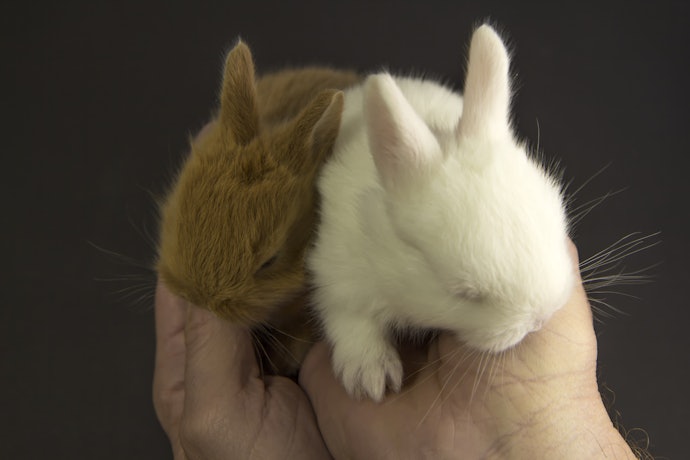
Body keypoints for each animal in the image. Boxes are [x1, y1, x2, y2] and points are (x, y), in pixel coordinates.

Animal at [308, 25, 575, 401]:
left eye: (556, 223)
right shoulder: (338, 272)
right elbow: (349, 319)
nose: (540, 318)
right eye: (465, 294)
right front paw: (372, 376)